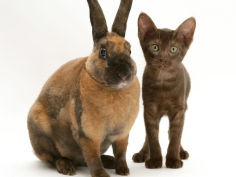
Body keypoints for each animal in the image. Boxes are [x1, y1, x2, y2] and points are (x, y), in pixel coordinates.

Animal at [27, 0, 139, 176]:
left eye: (130, 50)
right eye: (102, 52)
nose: (124, 74)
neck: (112, 89)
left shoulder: (122, 135)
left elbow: (121, 153)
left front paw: (123, 170)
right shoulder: (88, 136)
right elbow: (93, 159)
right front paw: (101, 175)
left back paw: (110, 161)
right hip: (41, 134)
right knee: (53, 158)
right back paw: (66, 167)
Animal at [132, 12, 196, 169]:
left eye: (173, 49)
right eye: (155, 47)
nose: (163, 59)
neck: (163, 84)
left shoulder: (179, 110)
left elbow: (175, 136)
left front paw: (173, 160)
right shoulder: (149, 109)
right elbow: (152, 137)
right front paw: (155, 160)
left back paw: (181, 152)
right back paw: (142, 154)